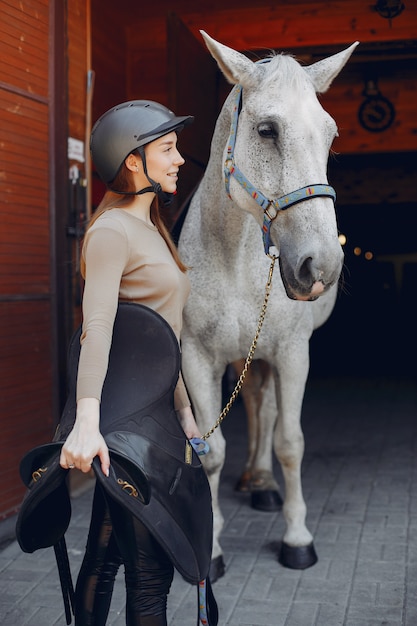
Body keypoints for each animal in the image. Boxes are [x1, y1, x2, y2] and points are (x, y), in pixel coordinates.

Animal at [177, 30, 356, 580]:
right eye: (267, 130)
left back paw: (263, 483)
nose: (321, 265)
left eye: (330, 136)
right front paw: (212, 546)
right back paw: (254, 480)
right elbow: (211, 451)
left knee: (267, 409)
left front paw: (298, 539)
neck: (237, 256)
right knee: (256, 402)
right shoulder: (199, 358)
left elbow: (290, 442)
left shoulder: (293, 353)